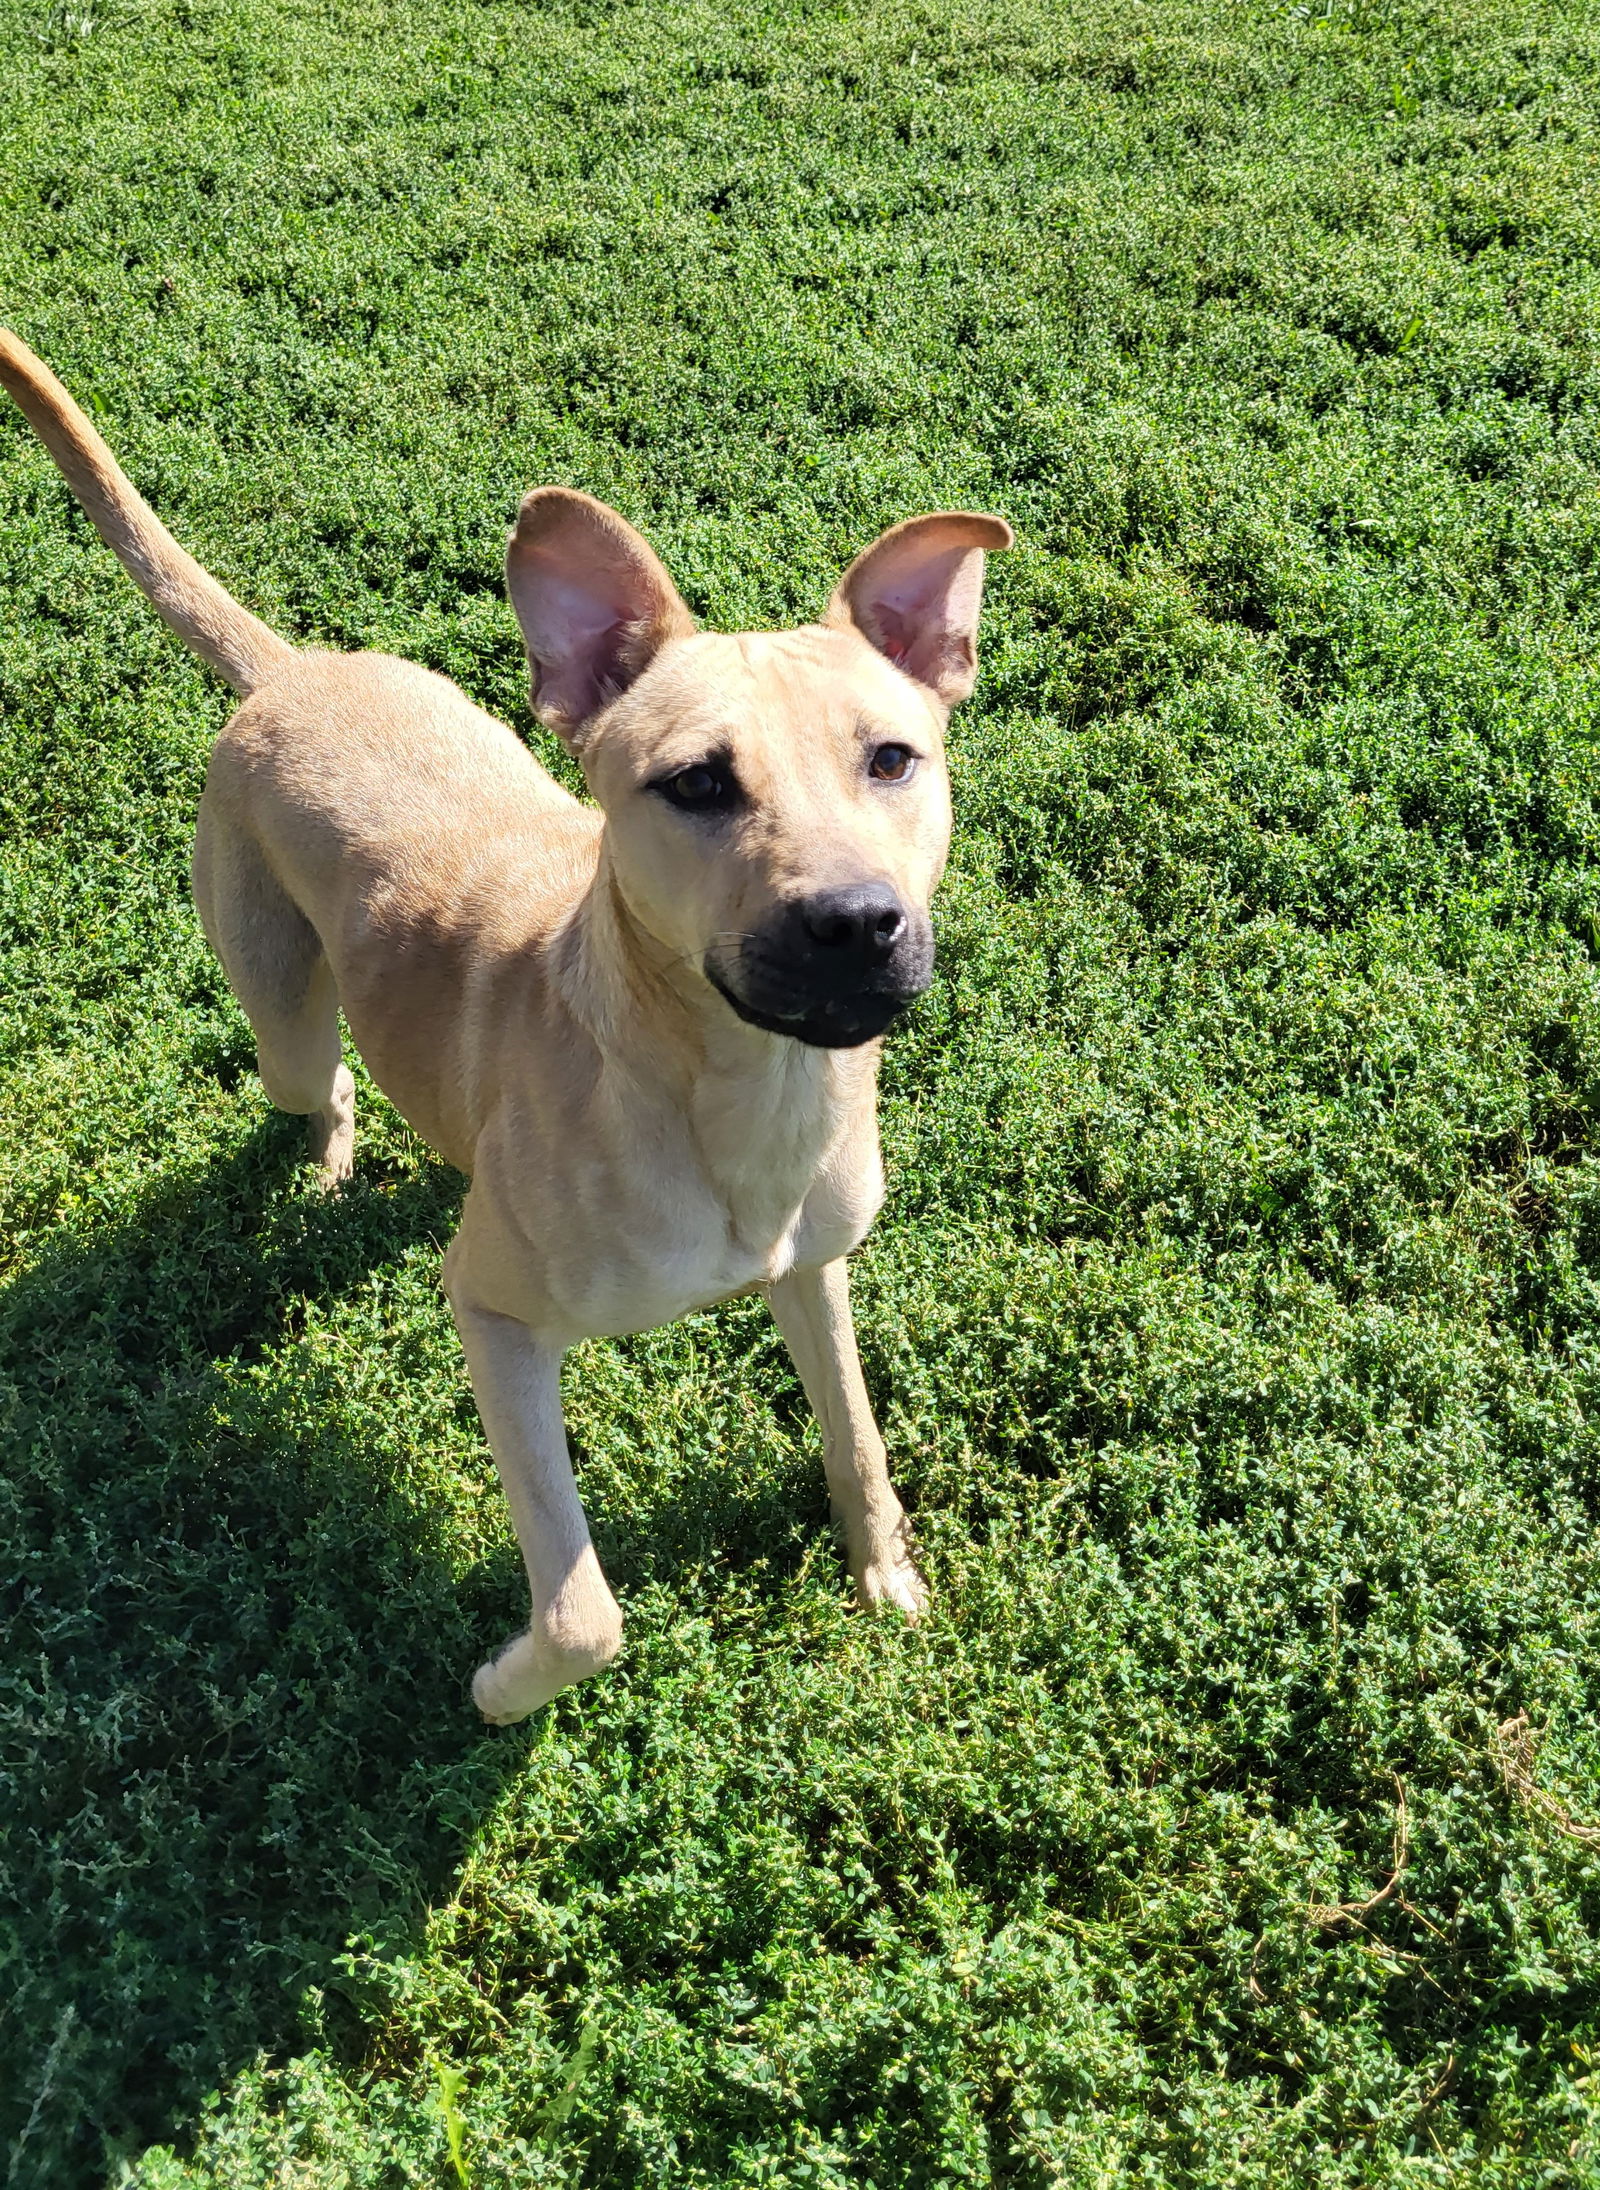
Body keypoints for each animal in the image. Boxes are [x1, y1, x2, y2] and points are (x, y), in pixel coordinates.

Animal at [3, 332, 1015, 1716]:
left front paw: (885, 1574)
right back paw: (332, 1159)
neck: (737, 1096)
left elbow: (855, 1439)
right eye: (697, 784)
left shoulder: (816, 1271)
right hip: (279, 1016)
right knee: (320, 1082)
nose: (856, 925)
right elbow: (587, 1611)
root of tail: (294, 671)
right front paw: (498, 1690)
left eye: (894, 759)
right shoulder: (493, 1318)